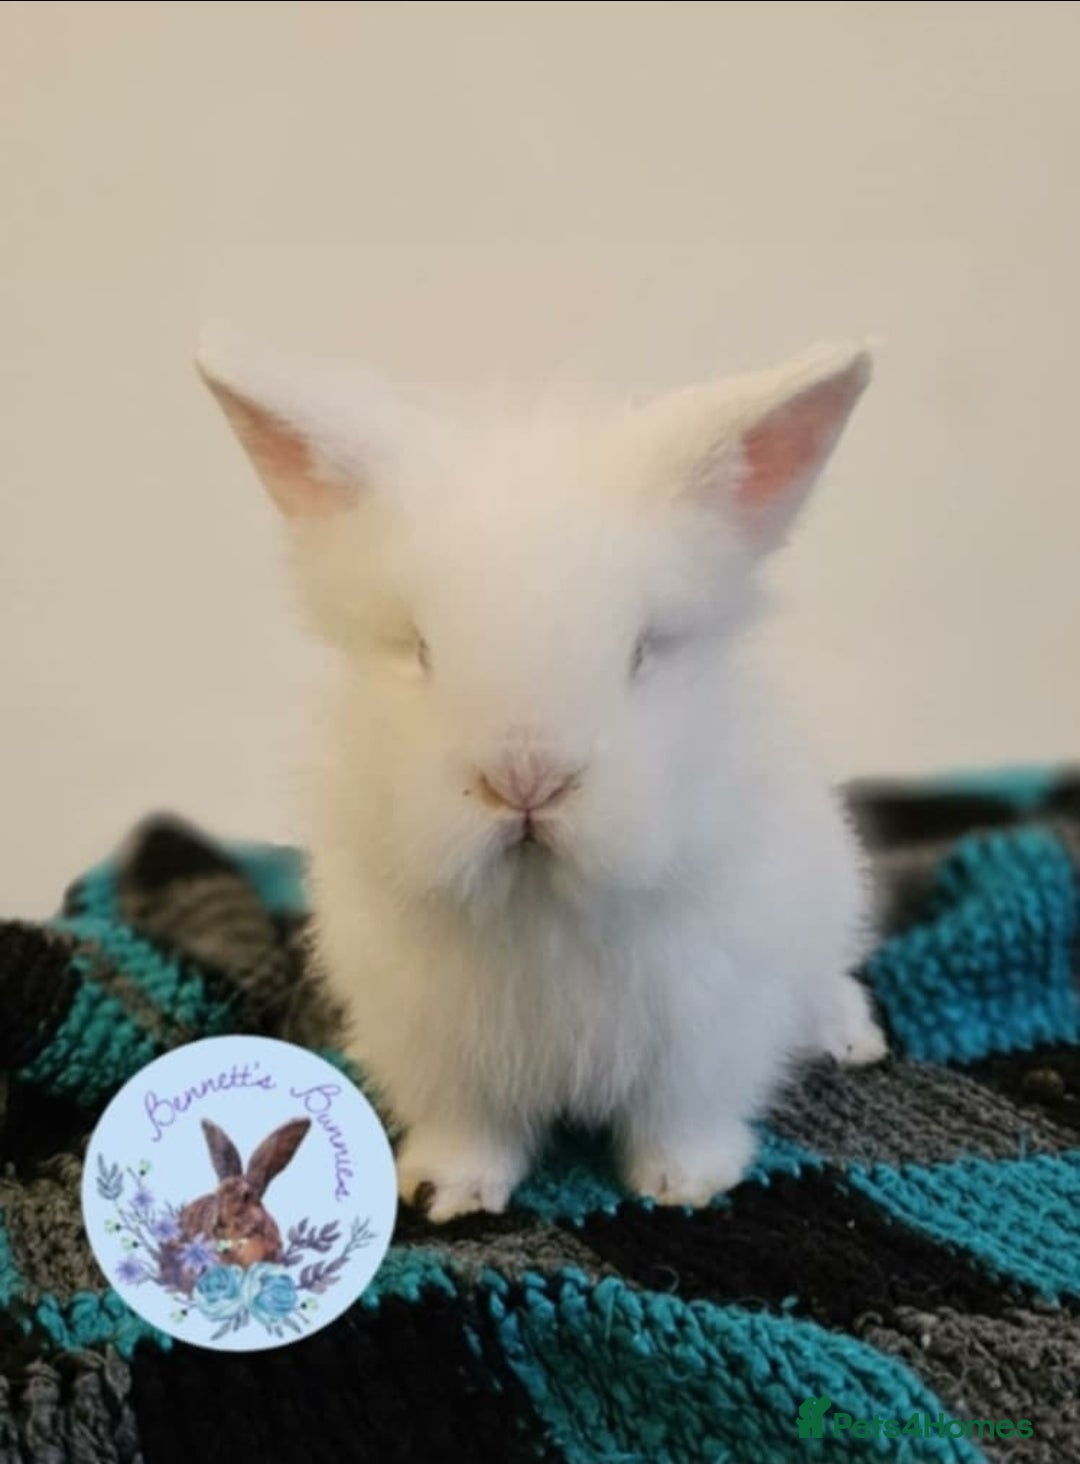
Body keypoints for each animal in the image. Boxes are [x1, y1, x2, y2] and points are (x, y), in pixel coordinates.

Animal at [196, 325, 887, 1224]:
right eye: (421, 649)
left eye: (641, 651)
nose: (526, 778)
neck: (539, 902)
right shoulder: (438, 1045)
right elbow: (470, 1127)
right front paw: (446, 1194)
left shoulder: (705, 1025)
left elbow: (681, 1115)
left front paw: (686, 1186)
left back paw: (850, 1036)